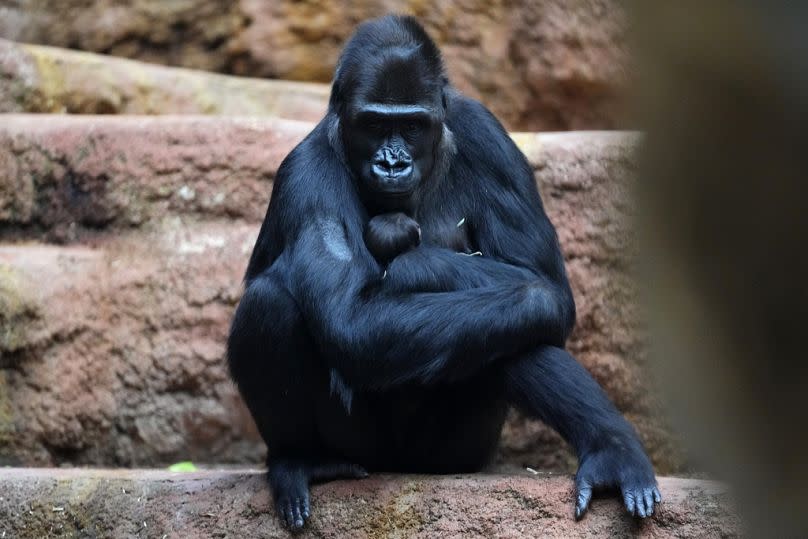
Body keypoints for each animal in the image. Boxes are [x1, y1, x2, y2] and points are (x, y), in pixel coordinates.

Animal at [226, 14, 656, 528]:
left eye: (413, 125)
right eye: (374, 124)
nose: (392, 163)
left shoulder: (489, 138)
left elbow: (542, 279)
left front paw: (417, 264)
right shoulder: (308, 173)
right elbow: (350, 318)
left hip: (453, 455)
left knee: (509, 327)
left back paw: (612, 449)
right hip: (364, 449)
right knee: (269, 305)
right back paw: (299, 459)